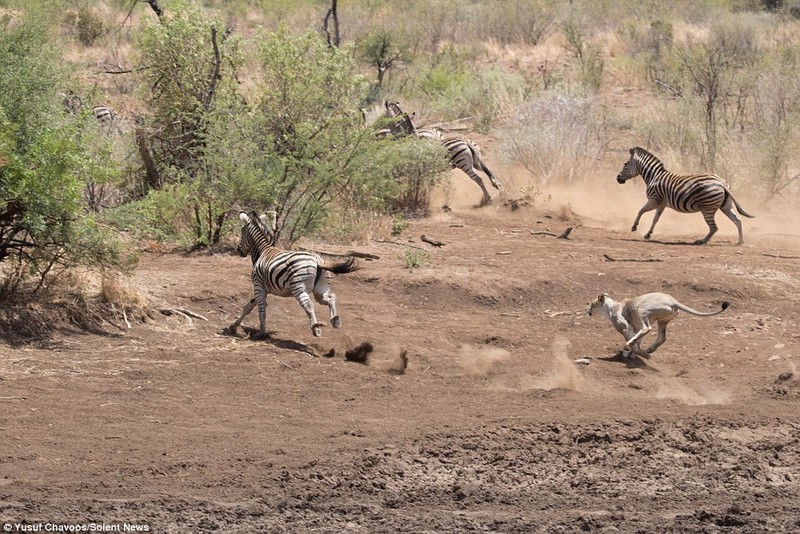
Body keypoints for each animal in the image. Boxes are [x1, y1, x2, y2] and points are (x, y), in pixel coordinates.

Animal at [228, 210, 360, 340]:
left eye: (242, 232)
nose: (238, 250)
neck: (262, 251)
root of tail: (317, 259)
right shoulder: (263, 288)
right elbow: (248, 307)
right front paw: (234, 326)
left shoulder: (258, 285)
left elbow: (261, 310)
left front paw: (261, 333)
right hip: (320, 289)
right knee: (331, 298)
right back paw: (335, 321)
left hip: (299, 288)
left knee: (309, 305)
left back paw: (316, 328)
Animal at [616, 147, 752, 247]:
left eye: (625, 164)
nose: (617, 179)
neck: (654, 176)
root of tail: (721, 182)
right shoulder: (662, 203)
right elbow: (655, 219)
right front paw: (648, 234)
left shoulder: (654, 200)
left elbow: (640, 211)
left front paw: (634, 227)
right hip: (725, 206)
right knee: (737, 220)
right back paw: (740, 242)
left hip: (707, 208)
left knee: (714, 227)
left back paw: (701, 241)